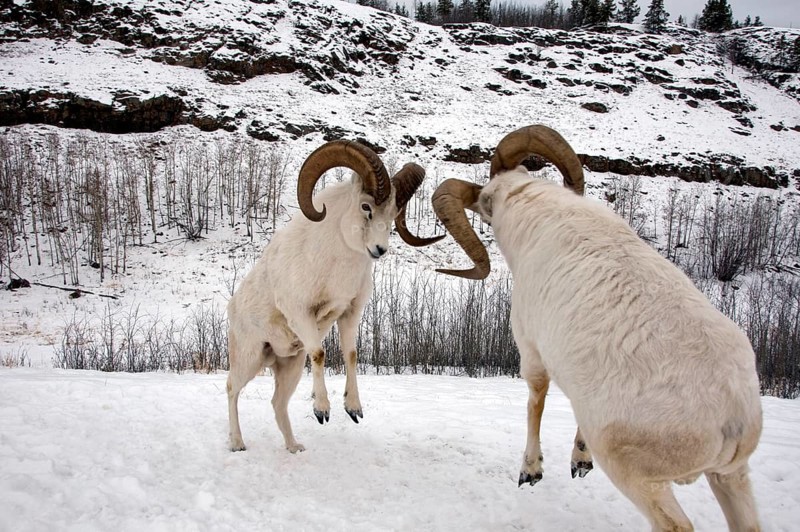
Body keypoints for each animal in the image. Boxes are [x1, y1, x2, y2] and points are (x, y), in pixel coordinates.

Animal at [227, 140, 442, 453]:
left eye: (392, 214)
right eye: (366, 207)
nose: (379, 250)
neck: (334, 268)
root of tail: (232, 310)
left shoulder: (349, 313)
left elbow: (350, 354)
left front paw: (353, 409)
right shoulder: (301, 314)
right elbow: (319, 354)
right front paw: (322, 411)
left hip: (289, 366)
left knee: (278, 403)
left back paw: (294, 447)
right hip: (249, 358)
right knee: (232, 389)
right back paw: (237, 444)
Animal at [430, 125, 763, 531]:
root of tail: (731, 415)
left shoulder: (532, 350)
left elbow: (536, 400)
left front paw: (531, 471)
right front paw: (580, 460)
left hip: (639, 478)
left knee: (675, 525)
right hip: (732, 476)